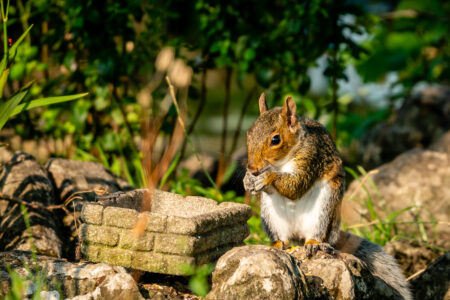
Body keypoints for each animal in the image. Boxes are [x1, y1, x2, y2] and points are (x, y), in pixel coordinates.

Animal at [244, 93, 414, 300]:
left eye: (276, 140)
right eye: (248, 134)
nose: (252, 168)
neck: (283, 161)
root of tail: (298, 236)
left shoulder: (311, 157)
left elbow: (296, 186)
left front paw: (267, 177)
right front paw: (248, 180)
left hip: (324, 210)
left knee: (316, 235)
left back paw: (314, 244)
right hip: (271, 216)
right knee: (283, 237)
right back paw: (278, 244)